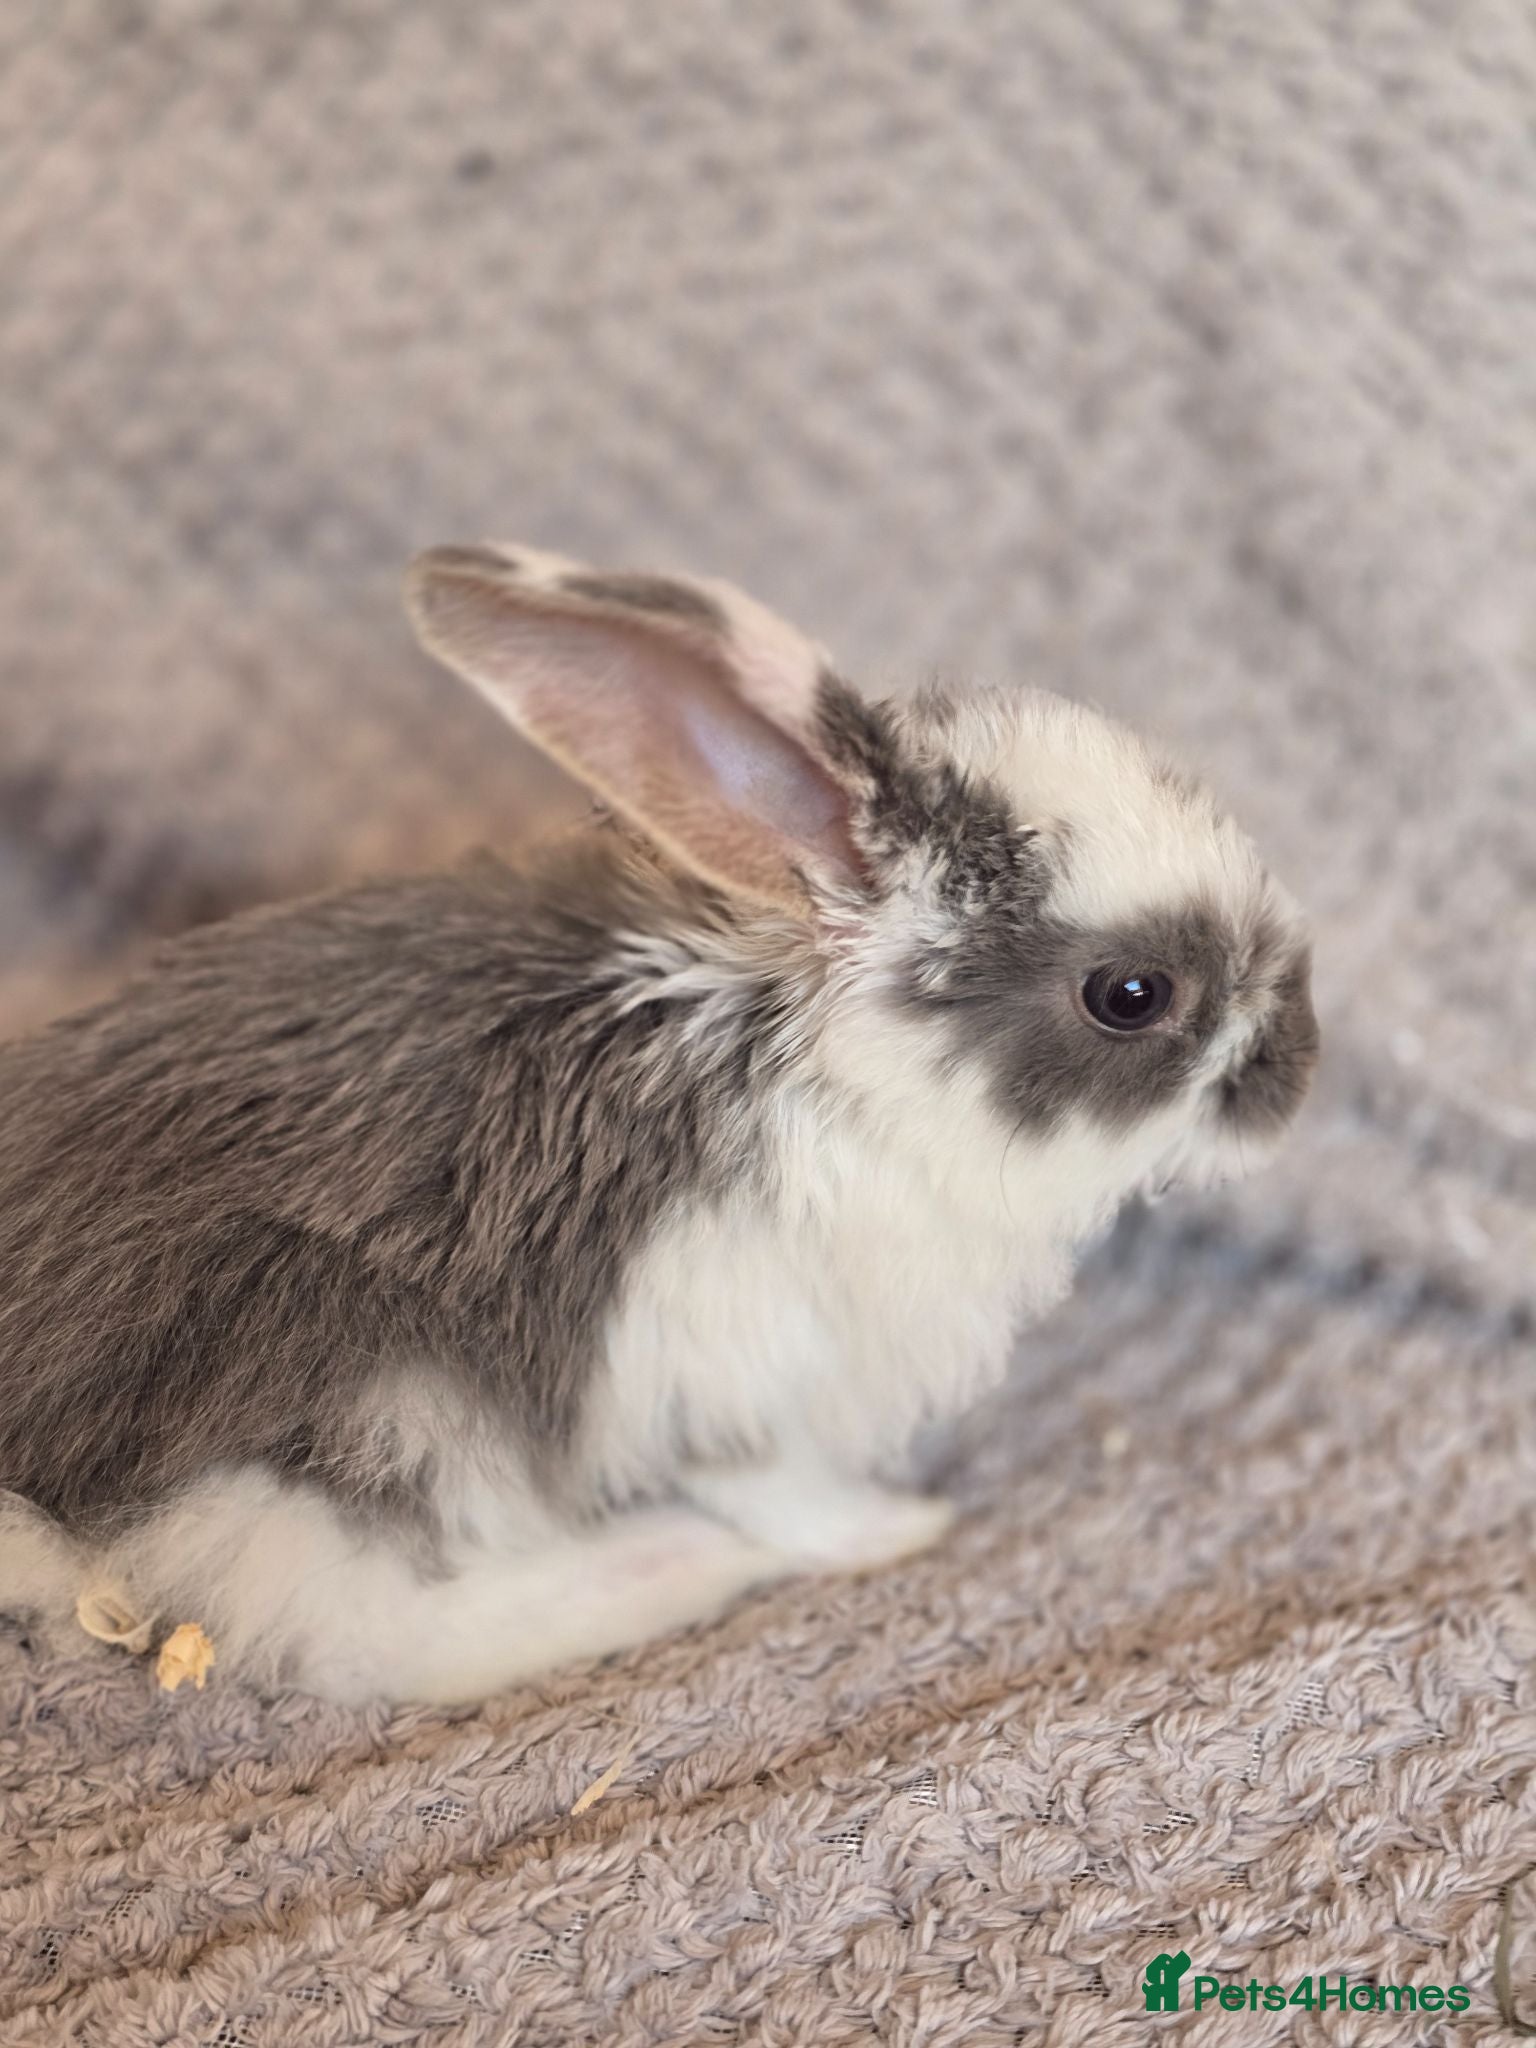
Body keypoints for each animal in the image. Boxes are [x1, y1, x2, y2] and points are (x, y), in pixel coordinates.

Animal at [0, 544, 1318, 1705]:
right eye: (1131, 994)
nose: (1300, 1073)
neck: (838, 1071)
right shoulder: (728, 1359)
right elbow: (781, 1488)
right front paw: (901, 1526)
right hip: (362, 1406)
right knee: (358, 1629)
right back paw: (675, 1563)